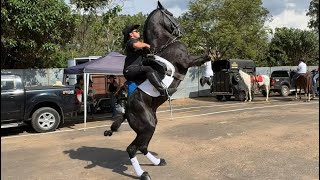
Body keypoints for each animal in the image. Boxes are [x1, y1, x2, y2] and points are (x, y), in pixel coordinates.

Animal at [104, 1, 211, 180]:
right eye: (171, 14)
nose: (181, 31)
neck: (164, 44)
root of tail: (127, 108)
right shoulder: (186, 61)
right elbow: (207, 56)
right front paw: (207, 78)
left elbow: (209, 57)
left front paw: (207, 78)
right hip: (146, 126)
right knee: (132, 149)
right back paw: (143, 174)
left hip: (150, 124)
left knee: (142, 147)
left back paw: (158, 162)